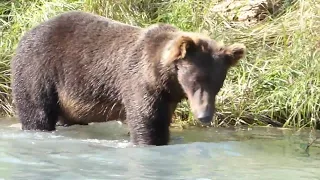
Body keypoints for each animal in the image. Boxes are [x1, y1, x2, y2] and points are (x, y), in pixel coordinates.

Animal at [10, 10, 245, 146]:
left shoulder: (166, 95)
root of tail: (25, 34)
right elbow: (147, 120)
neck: (162, 77)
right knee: (37, 111)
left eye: (218, 85)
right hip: (40, 69)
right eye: (195, 80)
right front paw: (150, 141)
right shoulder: (139, 83)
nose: (205, 116)